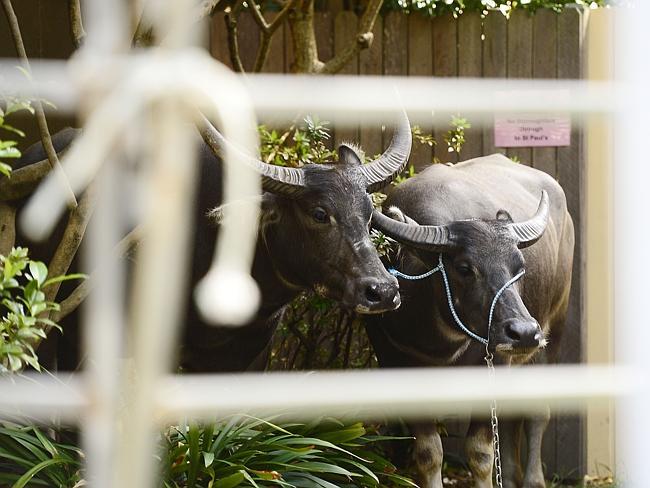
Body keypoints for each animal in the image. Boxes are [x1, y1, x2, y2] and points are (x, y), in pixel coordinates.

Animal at [364, 154, 572, 488]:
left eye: (520, 267)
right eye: (464, 268)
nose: (525, 332)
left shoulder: (494, 361)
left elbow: (480, 452)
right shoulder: (395, 359)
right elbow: (428, 452)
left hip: (555, 328)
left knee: (538, 411)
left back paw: (533, 480)